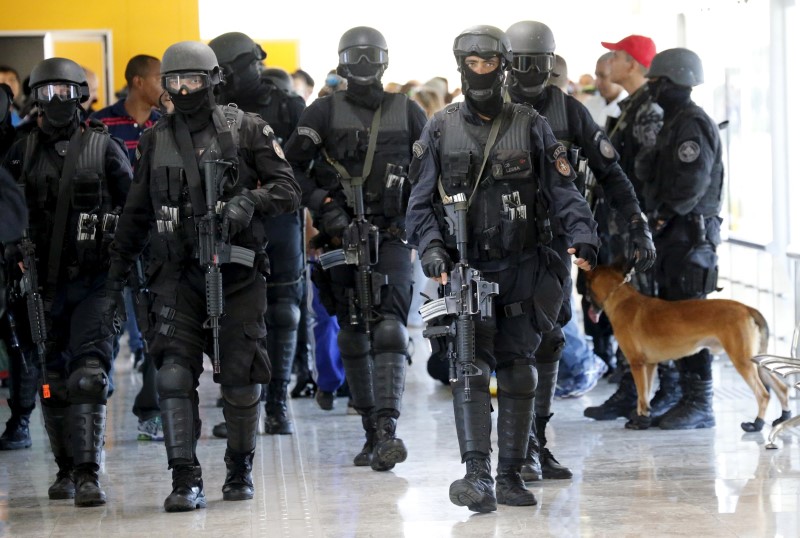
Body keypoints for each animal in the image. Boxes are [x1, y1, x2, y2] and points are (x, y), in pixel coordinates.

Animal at [584, 264, 792, 432]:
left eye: (587, 290)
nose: (587, 306)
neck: (620, 298)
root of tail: (747, 308)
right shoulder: (649, 365)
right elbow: (645, 397)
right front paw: (643, 418)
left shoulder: (637, 364)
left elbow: (641, 398)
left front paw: (640, 422)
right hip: (758, 362)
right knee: (781, 388)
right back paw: (783, 417)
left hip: (743, 361)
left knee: (763, 394)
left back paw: (757, 424)